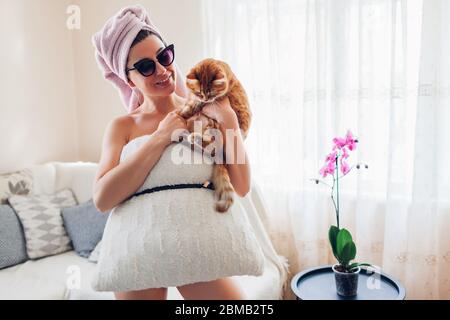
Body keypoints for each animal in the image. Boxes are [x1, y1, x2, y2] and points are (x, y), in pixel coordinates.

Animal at [178, 58, 251, 214]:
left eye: (210, 93)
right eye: (200, 92)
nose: (205, 99)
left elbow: (189, 108)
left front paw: (180, 113)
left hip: (213, 125)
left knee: (209, 142)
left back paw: (193, 137)